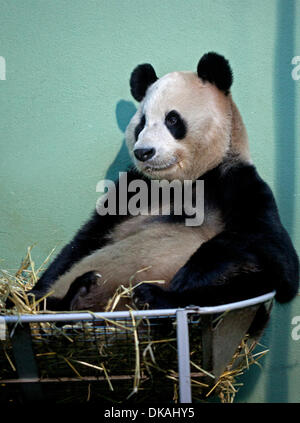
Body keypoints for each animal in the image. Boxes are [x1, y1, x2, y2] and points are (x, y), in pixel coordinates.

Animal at [28, 51, 298, 314]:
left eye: (172, 120)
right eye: (142, 123)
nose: (143, 152)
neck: (181, 182)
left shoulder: (236, 182)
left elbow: (276, 253)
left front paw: (192, 273)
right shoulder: (131, 189)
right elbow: (82, 242)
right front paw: (32, 293)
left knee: (240, 285)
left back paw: (152, 296)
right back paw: (72, 295)